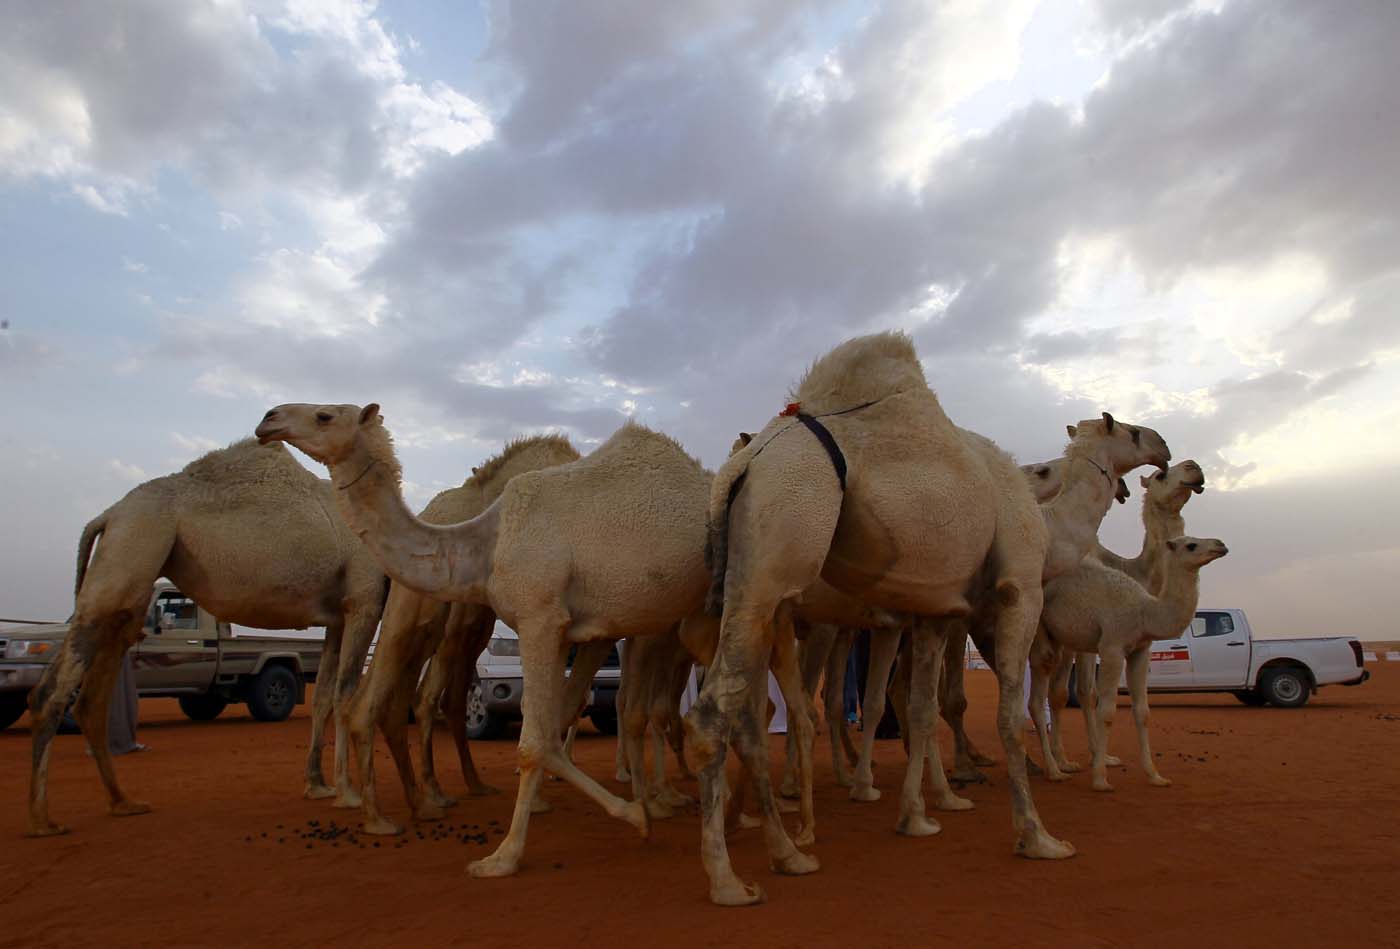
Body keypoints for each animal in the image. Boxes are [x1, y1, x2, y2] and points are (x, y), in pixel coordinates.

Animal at [25, 442, 389, 834]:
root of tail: (108, 515)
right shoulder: (363, 599)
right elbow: (344, 694)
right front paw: (348, 793)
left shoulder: (336, 616)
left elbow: (322, 696)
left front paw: (317, 784)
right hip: (133, 546)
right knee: (54, 691)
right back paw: (43, 819)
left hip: (127, 577)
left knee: (91, 699)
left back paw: (123, 802)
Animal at [352, 433, 588, 834]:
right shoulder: (455, 636)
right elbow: (437, 702)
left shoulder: (471, 636)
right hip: (407, 625)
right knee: (376, 698)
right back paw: (378, 807)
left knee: (394, 703)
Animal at [1030, 540, 1226, 789]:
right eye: (1191, 545)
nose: (1221, 545)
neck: (1144, 612)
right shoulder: (1112, 647)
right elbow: (1106, 712)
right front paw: (1100, 779)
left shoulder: (1140, 651)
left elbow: (1142, 712)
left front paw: (1155, 776)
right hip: (1038, 630)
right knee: (1036, 695)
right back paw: (1054, 771)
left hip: (1064, 638)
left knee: (1058, 692)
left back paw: (1064, 763)